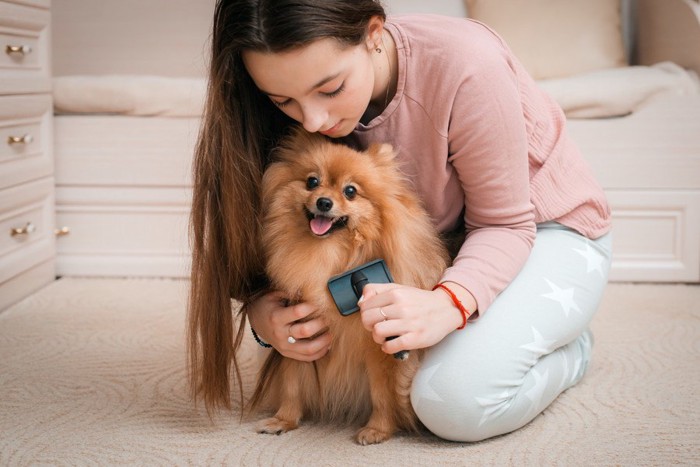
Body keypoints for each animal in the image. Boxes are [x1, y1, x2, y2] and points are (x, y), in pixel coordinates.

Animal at [252, 128, 448, 446]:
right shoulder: (299, 329)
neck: (328, 255)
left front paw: (378, 429)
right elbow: (292, 380)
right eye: (312, 182)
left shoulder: (377, 344)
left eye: (351, 191)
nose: (323, 202)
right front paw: (284, 419)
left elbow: (382, 393)